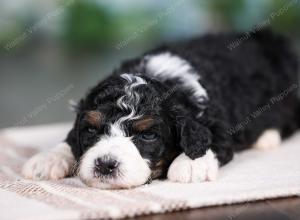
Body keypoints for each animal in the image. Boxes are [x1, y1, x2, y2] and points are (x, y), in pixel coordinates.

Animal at [21, 30, 300, 189]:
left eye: (148, 135)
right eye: (91, 130)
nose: (105, 165)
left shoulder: (219, 120)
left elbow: (211, 138)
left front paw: (189, 165)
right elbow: (69, 139)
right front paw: (48, 159)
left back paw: (267, 138)